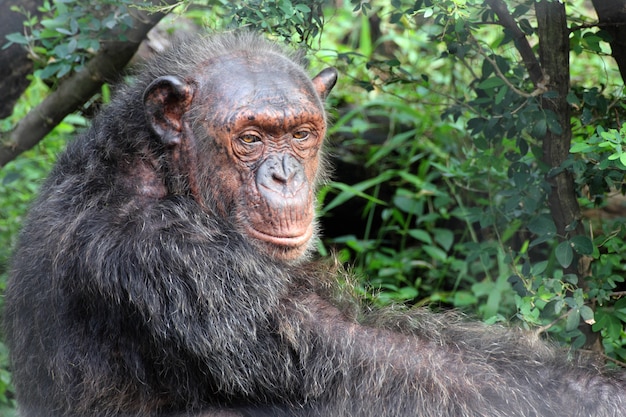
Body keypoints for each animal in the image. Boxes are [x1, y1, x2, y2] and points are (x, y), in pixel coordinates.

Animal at [4, 30, 624, 416]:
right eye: (251, 138)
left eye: (300, 133)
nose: (283, 176)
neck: (166, 175)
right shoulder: (179, 264)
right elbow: (387, 361)